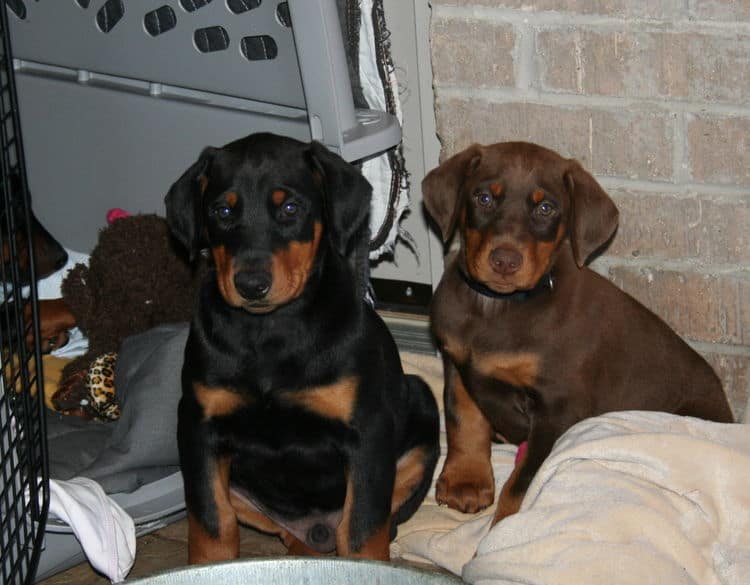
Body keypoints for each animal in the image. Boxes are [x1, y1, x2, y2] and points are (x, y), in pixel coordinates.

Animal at [164, 131, 440, 560]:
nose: (251, 284)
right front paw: (208, 565)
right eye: (222, 212)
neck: (269, 331)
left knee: (367, 522)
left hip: (422, 405)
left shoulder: (368, 430)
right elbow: (212, 520)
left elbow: (362, 527)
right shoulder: (198, 425)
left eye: (290, 208)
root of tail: (315, 530)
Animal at [424, 141, 736, 524]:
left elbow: (523, 480)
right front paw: (465, 482)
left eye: (546, 208)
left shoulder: (558, 405)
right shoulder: (458, 363)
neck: (497, 306)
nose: (505, 261)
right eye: (483, 198)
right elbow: (463, 421)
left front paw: (505, 526)